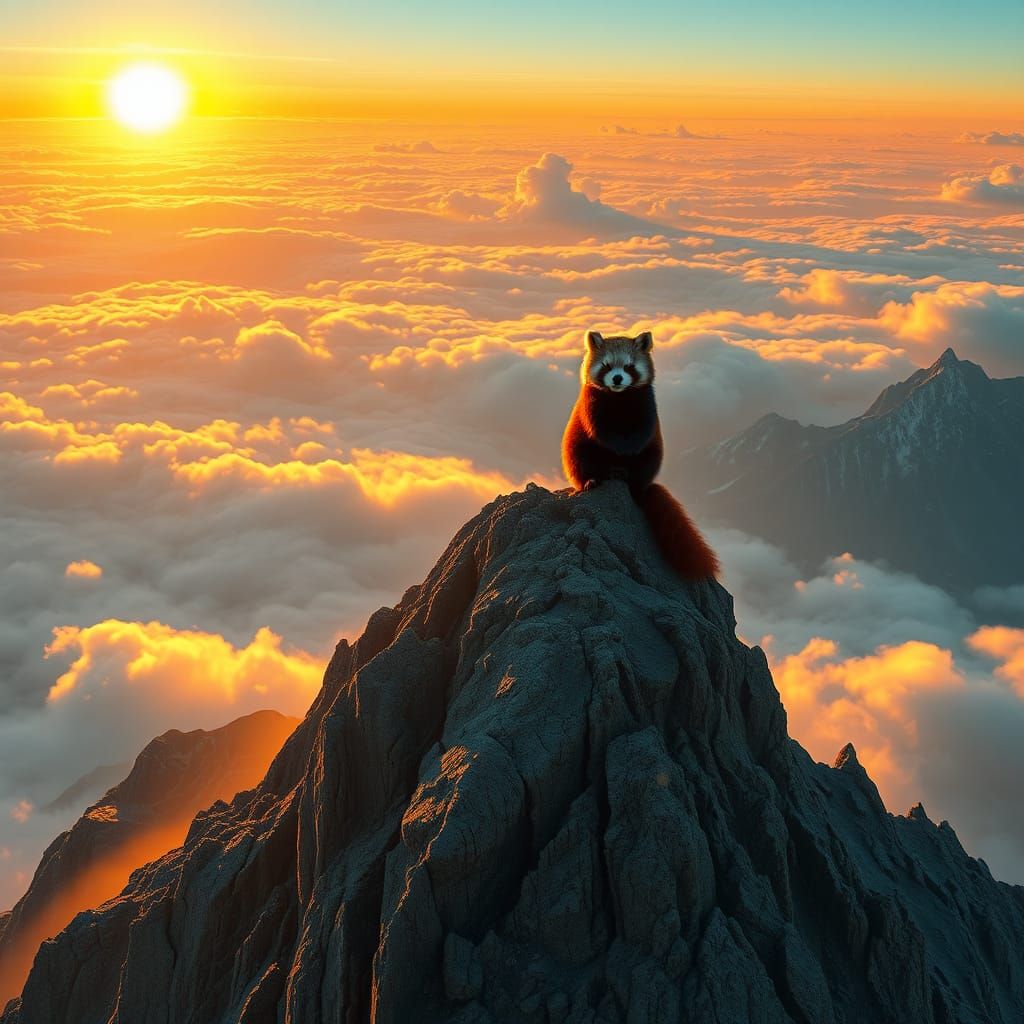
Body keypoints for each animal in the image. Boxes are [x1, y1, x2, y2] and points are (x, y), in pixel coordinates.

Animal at [561, 329, 719, 579]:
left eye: (629, 366)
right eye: (606, 365)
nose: (617, 379)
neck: (619, 400)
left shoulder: (646, 409)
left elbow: (640, 436)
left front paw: (626, 453)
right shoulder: (592, 408)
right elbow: (601, 432)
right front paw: (616, 453)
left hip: (652, 458)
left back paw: (631, 484)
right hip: (577, 451)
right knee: (582, 462)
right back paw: (592, 480)